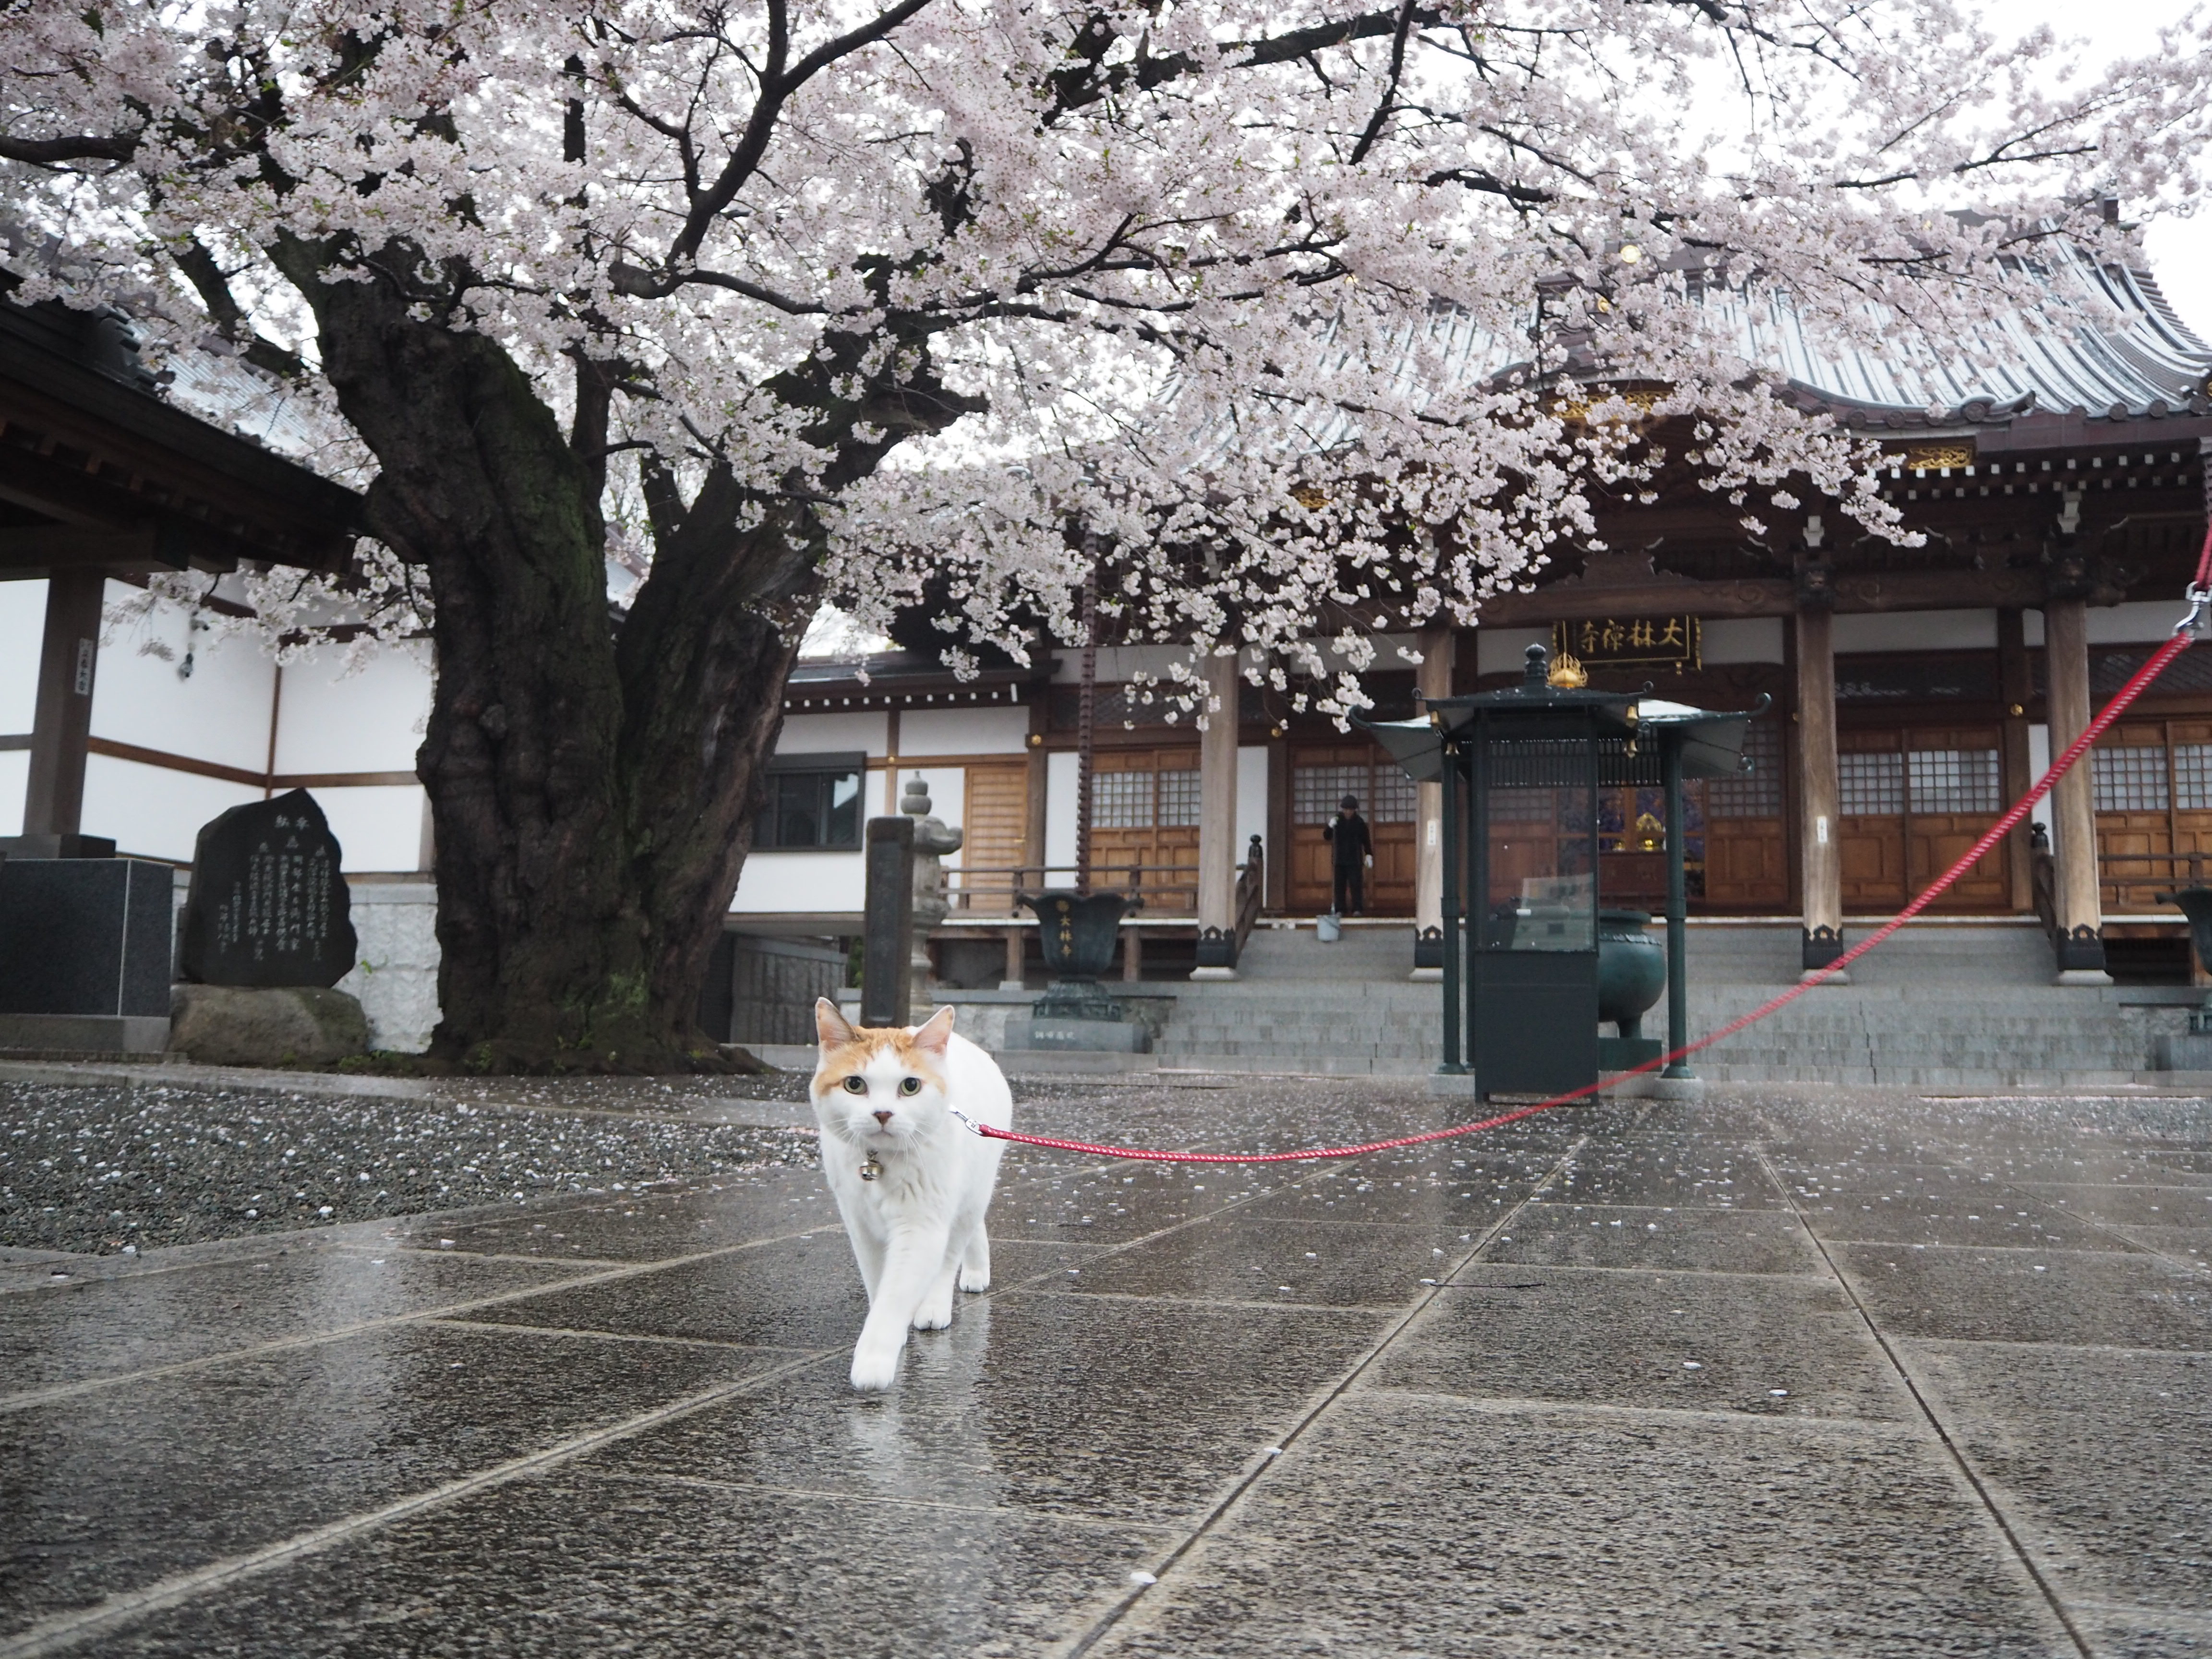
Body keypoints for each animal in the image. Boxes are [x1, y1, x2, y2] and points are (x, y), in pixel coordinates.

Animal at [818, 999, 1013, 1389]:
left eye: (910, 1086)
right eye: (854, 1084)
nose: (882, 1113)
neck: (880, 1162)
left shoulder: (921, 1226)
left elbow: (896, 1294)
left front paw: (874, 1362)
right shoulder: (860, 1225)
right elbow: (878, 1284)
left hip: (969, 1194)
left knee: (952, 1254)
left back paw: (939, 1304)